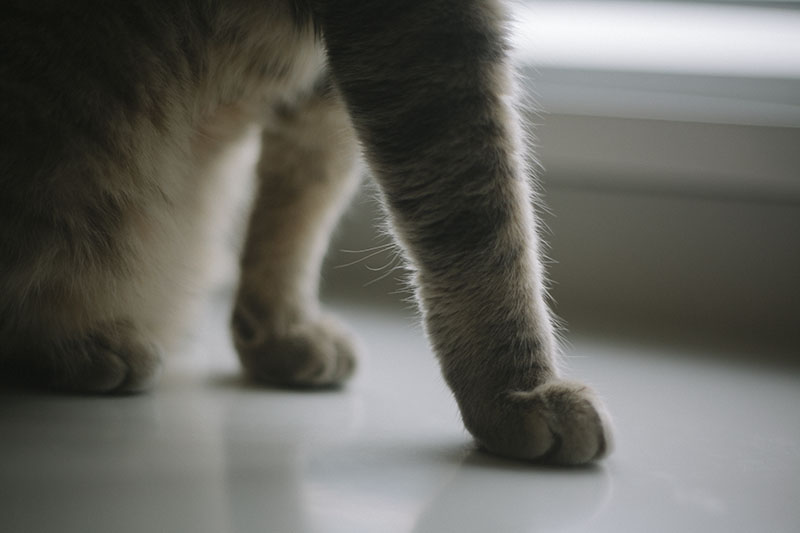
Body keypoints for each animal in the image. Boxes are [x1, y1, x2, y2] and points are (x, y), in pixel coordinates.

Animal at [1, 0, 612, 464]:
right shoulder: (417, 27)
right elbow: (481, 219)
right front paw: (516, 392)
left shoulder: (323, 84)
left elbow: (297, 208)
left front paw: (276, 334)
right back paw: (74, 345)